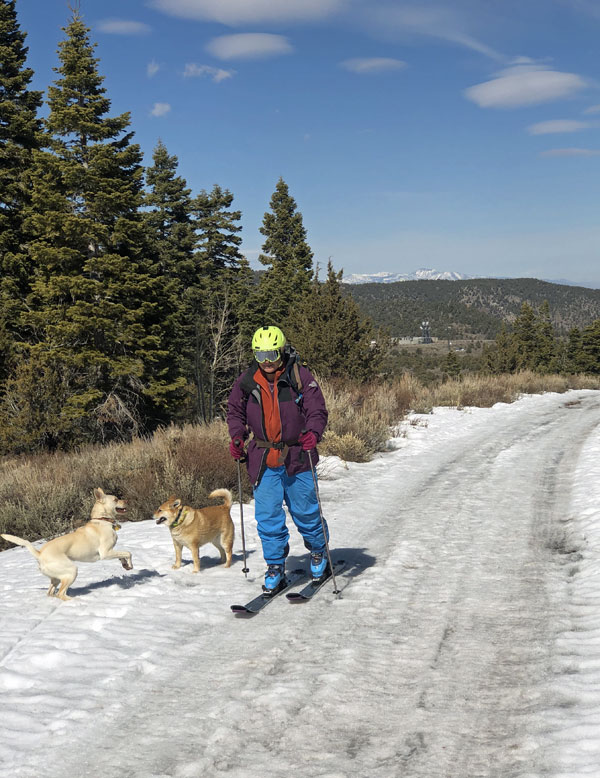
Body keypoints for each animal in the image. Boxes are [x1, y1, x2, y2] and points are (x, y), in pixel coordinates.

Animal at [0, 484, 131, 600]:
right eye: (116, 499)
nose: (127, 500)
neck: (103, 520)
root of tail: (40, 554)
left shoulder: (111, 552)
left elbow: (122, 556)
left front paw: (126, 565)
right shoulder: (105, 553)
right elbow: (128, 553)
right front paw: (130, 564)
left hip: (57, 577)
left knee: (51, 592)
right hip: (72, 571)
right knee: (61, 594)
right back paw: (77, 601)